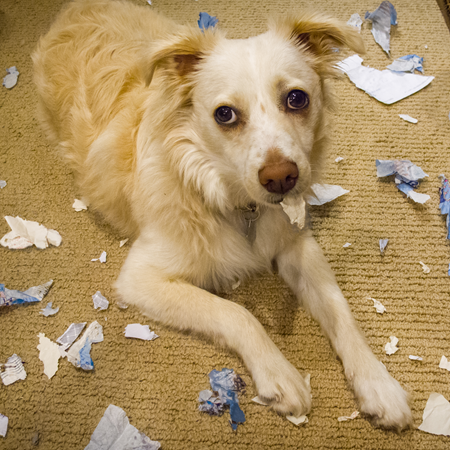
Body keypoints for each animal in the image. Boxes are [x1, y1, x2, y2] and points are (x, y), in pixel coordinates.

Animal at [33, 0, 414, 428]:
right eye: (225, 114)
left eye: (297, 99)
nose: (281, 179)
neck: (238, 203)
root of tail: (75, 8)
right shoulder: (141, 279)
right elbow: (235, 312)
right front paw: (280, 374)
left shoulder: (297, 244)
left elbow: (339, 308)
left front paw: (378, 383)